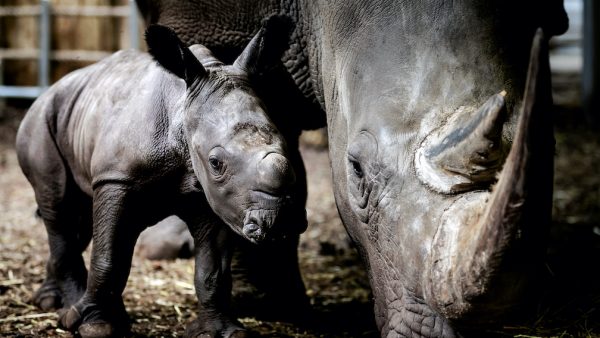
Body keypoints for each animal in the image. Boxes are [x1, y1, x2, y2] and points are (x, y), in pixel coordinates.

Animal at [17, 19, 308, 338]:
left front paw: (222, 331)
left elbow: (213, 270)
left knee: (80, 221)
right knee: (59, 207)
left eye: (288, 147)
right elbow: (108, 258)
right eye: (216, 163)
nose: (280, 222)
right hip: (40, 121)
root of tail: (49, 90)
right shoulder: (116, 178)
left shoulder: (214, 197)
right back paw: (66, 308)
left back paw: (62, 304)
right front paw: (95, 327)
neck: (182, 111)